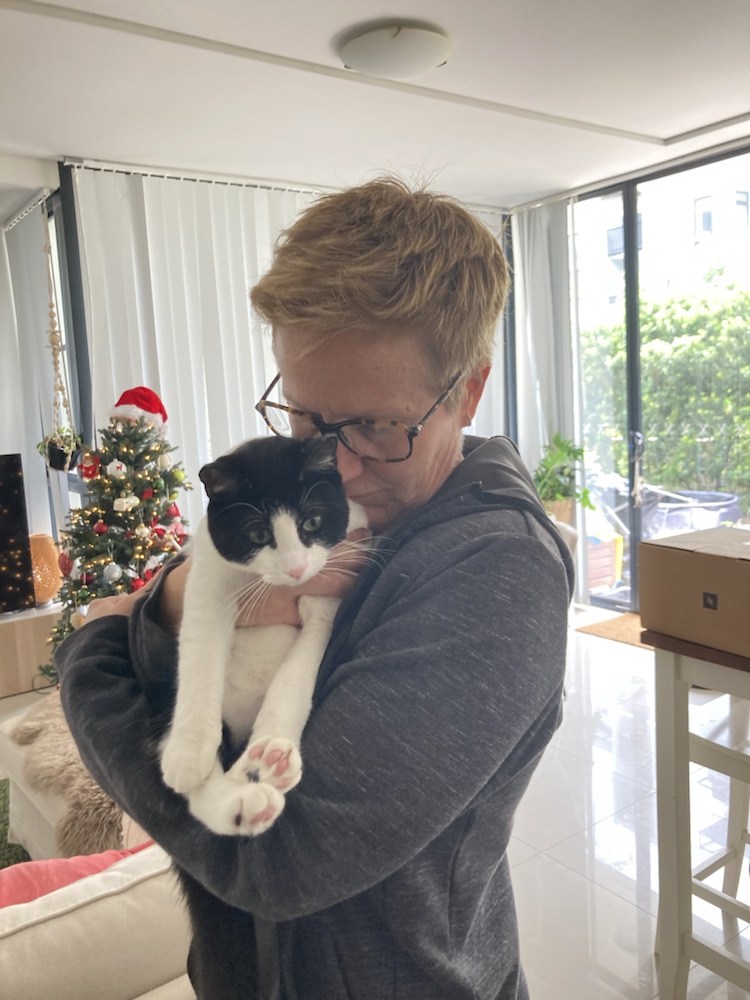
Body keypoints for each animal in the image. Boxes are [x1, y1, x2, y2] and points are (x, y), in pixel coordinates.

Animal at [158, 433, 368, 1000]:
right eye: (257, 534)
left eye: (312, 523)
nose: (294, 569)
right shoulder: (206, 577)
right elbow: (201, 652)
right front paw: (189, 750)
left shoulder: (328, 589)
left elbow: (297, 675)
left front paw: (274, 749)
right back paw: (234, 795)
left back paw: (256, 777)